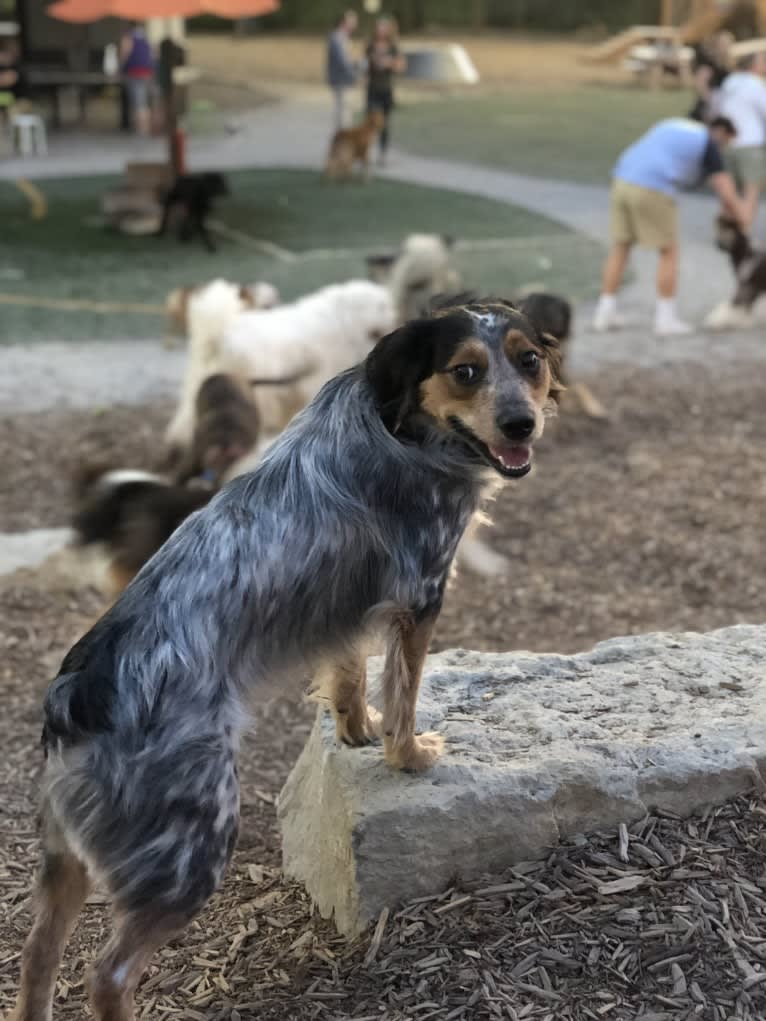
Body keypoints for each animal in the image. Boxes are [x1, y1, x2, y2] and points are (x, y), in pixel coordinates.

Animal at [9, 298, 563, 1021]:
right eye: (466, 371)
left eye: (529, 361)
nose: (522, 422)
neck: (399, 423)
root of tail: (74, 698)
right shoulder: (420, 593)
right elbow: (405, 692)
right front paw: (407, 755)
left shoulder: (350, 602)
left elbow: (349, 674)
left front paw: (356, 730)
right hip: (192, 849)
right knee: (108, 974)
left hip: (63, 860)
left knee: (37, 955)